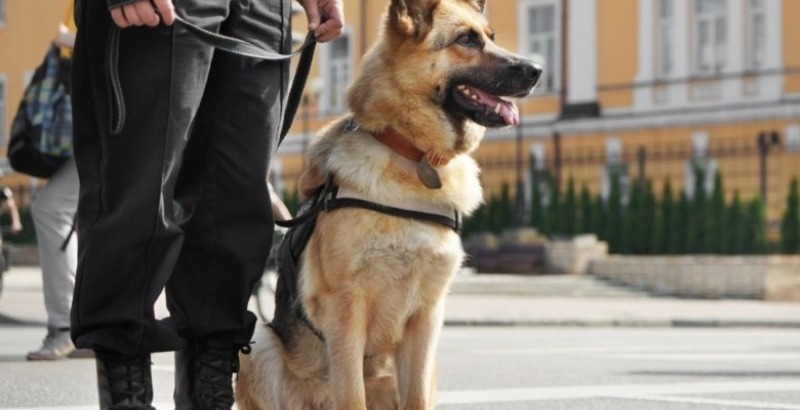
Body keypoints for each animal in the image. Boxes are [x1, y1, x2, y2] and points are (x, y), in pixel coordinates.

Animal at [234, 1, 540, 408]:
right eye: (466, 40)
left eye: (491, 38)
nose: (537, 70)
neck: (413, 156)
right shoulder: (346, 311)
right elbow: (351, 395)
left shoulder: (426, 320)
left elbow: (416, 398)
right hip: (258, 343)